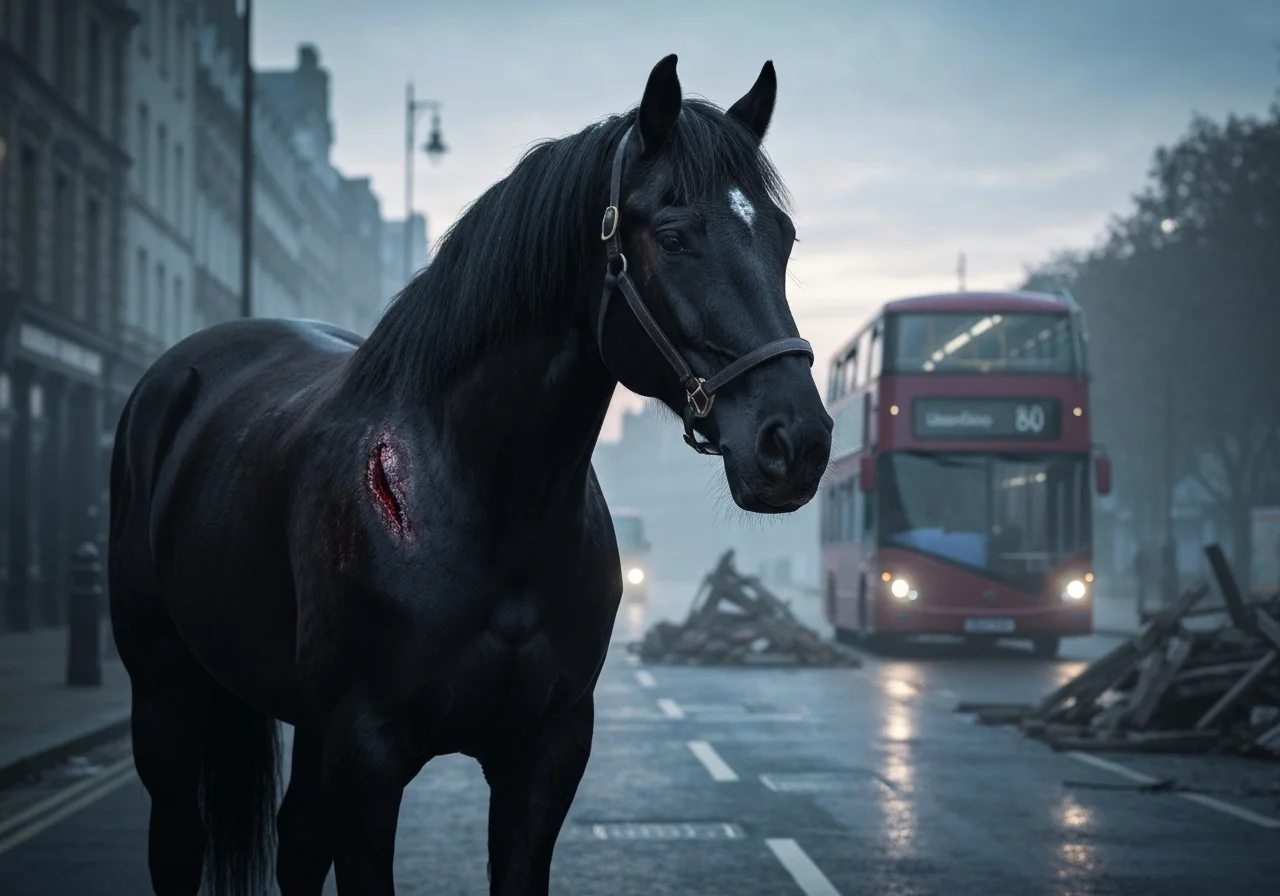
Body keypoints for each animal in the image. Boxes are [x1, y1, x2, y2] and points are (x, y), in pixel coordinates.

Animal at [108, 53, 833, 896]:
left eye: (783, 236)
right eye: (676, 234)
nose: (798, 440)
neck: (486, 501)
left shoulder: (545, 755)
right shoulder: (367, 754)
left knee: (297, 842)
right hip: (167, 689)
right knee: (178, 837)